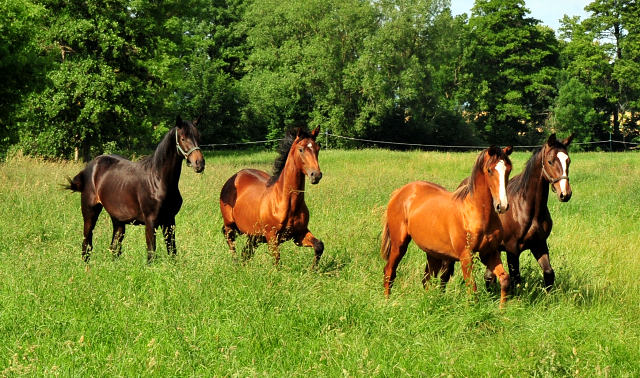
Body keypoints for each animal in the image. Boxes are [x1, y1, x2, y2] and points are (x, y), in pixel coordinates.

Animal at [63, 116, 204, 262]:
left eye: (199, 137)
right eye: (183, 138)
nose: (199, 163)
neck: (158, 180)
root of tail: (91, 166)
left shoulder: (170, 220)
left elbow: (172, 251)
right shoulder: (151, 221)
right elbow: (151, 252)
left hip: (118, 220)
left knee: (114, 247)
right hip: (90, 213)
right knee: (87, 243)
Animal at [221, 126, 324, 266]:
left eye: (317, 148)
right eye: (301, 149)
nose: (316, 175)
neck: (286, 203)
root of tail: (233, 178)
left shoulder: (299, 234)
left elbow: (319, 245)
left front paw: (313, 268)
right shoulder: (272, 237)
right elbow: (277, 262)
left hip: (255, 235)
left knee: (246, 252)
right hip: (230, 225)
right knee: (230, 241)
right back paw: (236, 264)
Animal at [380, 145, 516, 304]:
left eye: (508, 169)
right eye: (489, 170)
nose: (502, 206)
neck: (477, 213)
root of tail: (399, 192)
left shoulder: (489, 253)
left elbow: (505, 280)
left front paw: (502, 309)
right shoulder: (465, 256)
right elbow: (472, 287)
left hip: (432, 253)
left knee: (427, 278)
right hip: (399, 245)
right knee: (390, 271)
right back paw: (387, 301)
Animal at [452, 133, 572, 290]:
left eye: (568, 161)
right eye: (550, 161)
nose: (565, 194)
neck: (527, 209)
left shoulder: (539, 244)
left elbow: (549, 273)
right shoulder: (512, 249)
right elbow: (516, 278)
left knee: (489, 277)